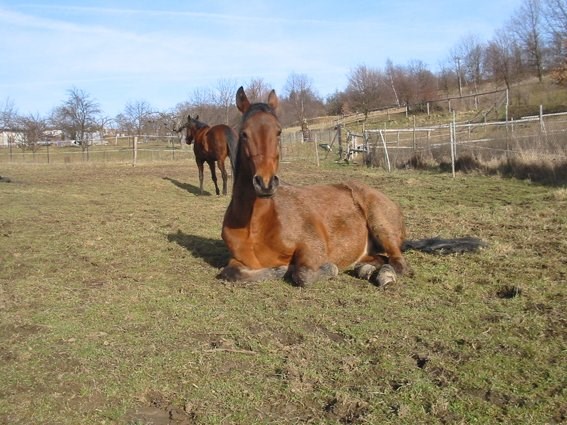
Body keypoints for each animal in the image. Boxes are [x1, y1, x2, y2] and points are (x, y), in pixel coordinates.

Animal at [220, 86, 486, 284]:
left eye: (278, 132)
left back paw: (383, 276)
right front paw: (275, 271)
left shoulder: (313, 248)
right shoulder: (236, 262)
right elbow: (229, 273)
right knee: (380, 260)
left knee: (398, 263)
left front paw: (323, 270)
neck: (258, 225)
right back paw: (366, 270)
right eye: (244, 133)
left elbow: (302, 274)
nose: (265, 183)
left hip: (381, 224)